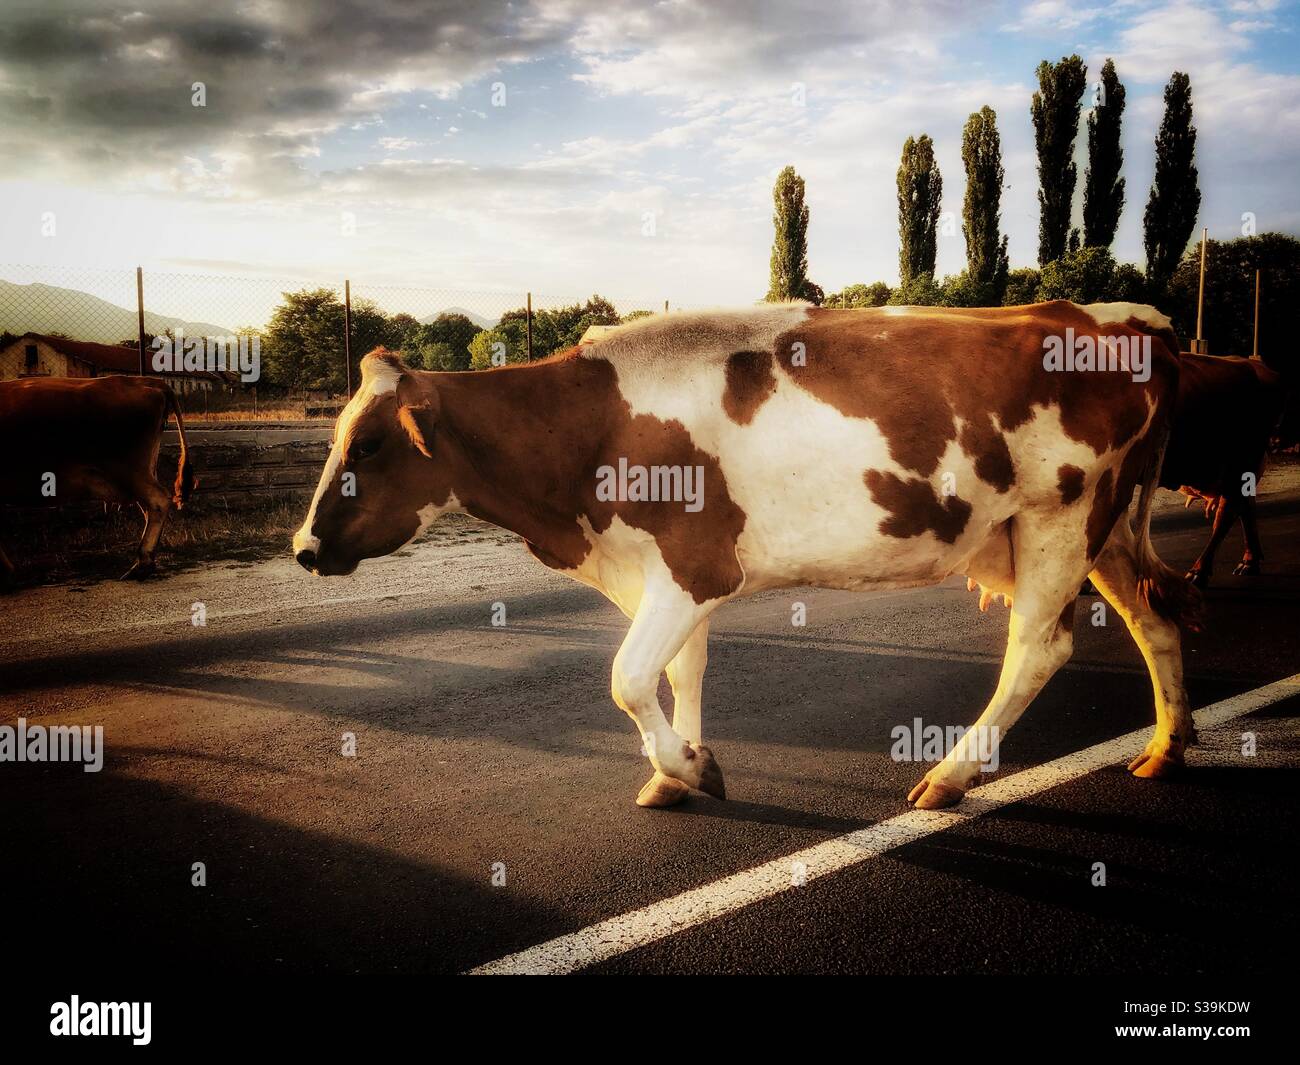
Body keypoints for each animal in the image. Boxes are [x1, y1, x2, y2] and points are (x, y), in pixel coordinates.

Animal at [292, 304, 1196, 811]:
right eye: (337, 434)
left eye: (368, 444)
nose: (301, 548)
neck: (593, 429)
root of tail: (1121, 325)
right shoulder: (665, 572)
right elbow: (679, 672)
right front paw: (680, 768)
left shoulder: (693, 567)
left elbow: (627, 679)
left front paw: (689, 766)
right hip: (1103, 529)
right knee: (1156, 619)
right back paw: (1166, 747)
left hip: (1060, 517)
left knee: (1038, 648)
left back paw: (950, 776)